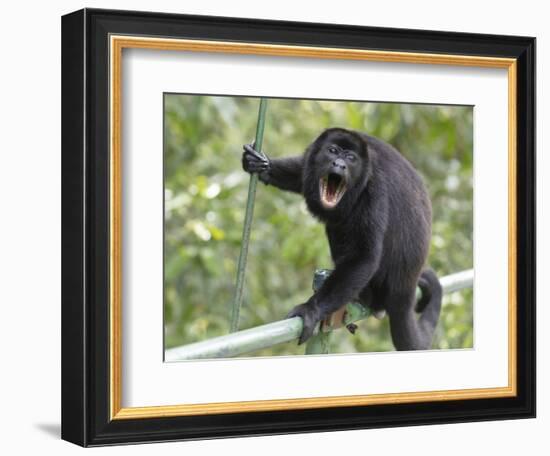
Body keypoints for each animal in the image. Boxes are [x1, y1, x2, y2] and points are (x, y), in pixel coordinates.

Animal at [242, 128, 444, 352]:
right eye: (333, 150)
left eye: (351, 158)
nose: (339, 164)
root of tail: (405, 291)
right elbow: (301, 171)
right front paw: (262, 164)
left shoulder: (374, 189)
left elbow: (364, 257)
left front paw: (310, 309)